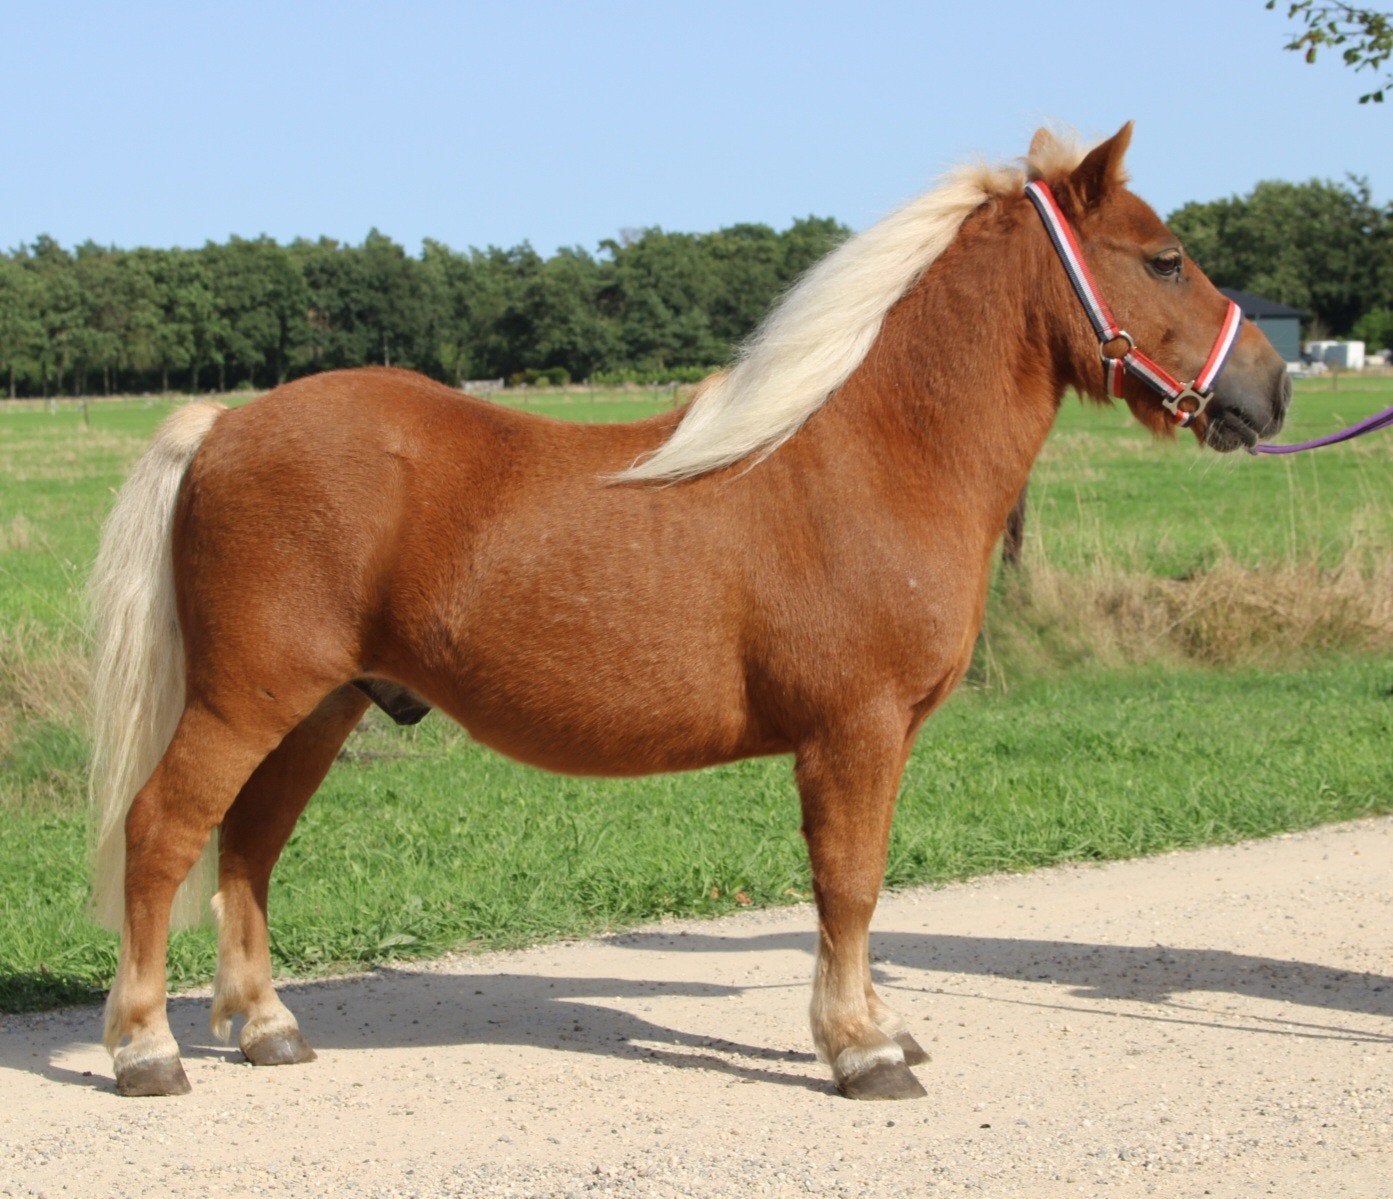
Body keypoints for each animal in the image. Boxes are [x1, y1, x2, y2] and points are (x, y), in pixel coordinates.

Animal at [88, 123, 1289, 1101]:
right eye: (1164, 257)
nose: (1270, 390)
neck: (877, 455)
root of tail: (226, 421)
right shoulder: (851, 730)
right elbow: (847, 884)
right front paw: (859, 1047)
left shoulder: (883, 736)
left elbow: (862, 884)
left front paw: (880, 1026)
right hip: (247, 700)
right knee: (163, 832)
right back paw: (146, 1048)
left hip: (320, 708)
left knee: (248, 847)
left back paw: (267, 1028)